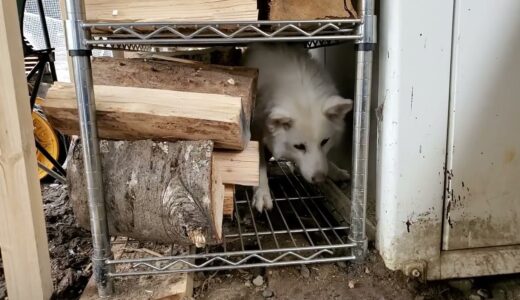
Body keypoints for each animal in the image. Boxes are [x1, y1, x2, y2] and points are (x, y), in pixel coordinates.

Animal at [244, 43, 354, 212]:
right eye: (299, 146)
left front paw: (334, 170)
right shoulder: (256, 128)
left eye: (325, 142)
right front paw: (262, 192)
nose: (319, 179)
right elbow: (259, 162)